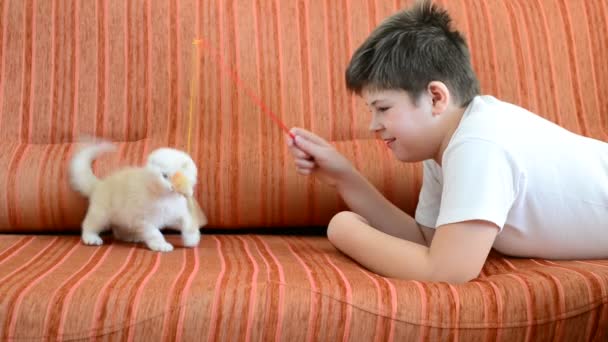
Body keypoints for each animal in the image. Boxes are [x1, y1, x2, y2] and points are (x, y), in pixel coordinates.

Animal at [68, 141, 202, 251]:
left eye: (182, 176)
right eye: (164, 176)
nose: (172, 187)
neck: (165, 198)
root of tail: (99, 184)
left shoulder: (176, 213)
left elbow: (188, 222)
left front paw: (191, 239)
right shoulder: (144, 220)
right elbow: (155, 233)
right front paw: (161, 245)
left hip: (122, 217)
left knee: (118, 231)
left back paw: (131, 237)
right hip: (101, 214)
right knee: (89, 224)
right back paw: (91, 238)